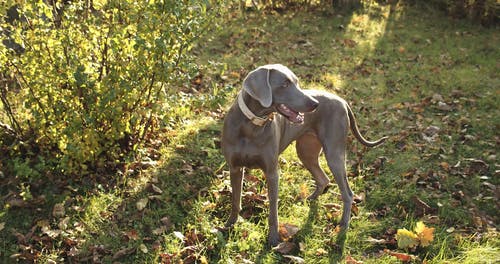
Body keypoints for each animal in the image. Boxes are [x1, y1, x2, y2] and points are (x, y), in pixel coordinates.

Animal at [221, 64, 388, 245]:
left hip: (334, 153)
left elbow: (273, 209)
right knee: (323, 179)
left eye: (297, 82)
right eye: (285, 84)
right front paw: (229, 225)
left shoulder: (272, 172)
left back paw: (343, 226)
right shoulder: (234, 168)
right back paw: (310, 199)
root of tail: (342, 101)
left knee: (348, 194)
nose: (315, 104)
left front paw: (273, 239)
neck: (251, 125)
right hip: (306, 151)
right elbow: (235, 200)